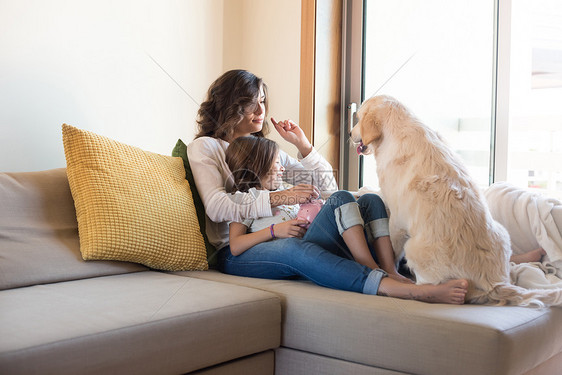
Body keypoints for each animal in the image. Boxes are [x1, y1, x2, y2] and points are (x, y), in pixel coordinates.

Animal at [348, 95, 556, 306]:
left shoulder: (397, 220)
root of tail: (494, 284)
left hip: (414, 248)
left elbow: (391, 249)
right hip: (503, 233)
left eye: (358, 118)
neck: (396, 129)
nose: (349, 133)